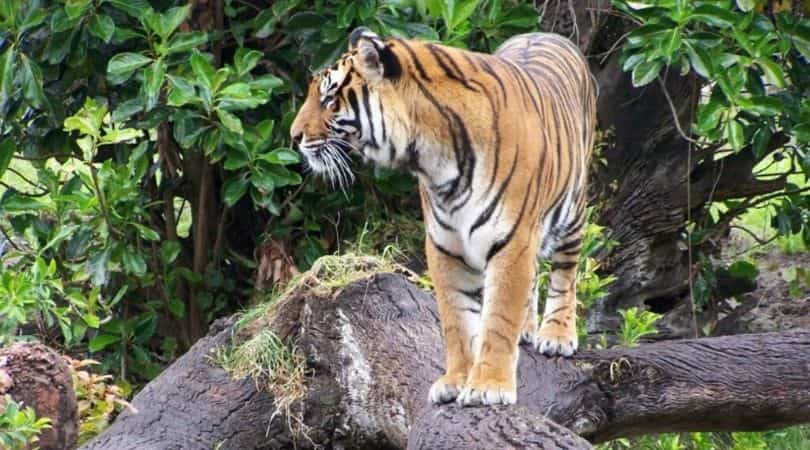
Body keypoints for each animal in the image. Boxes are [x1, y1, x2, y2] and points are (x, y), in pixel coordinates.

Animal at [290, 27, 596, 406]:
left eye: (329, 99)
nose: (294, 137)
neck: (434, 159)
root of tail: (543, 32)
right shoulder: (445, 245)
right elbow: (456, 320)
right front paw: (456, 380)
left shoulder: (513, 240)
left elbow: (499, 315)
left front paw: (489, 386)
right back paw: (526, 330)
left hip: (573, 209)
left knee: (565, 272)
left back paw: (556, 334)